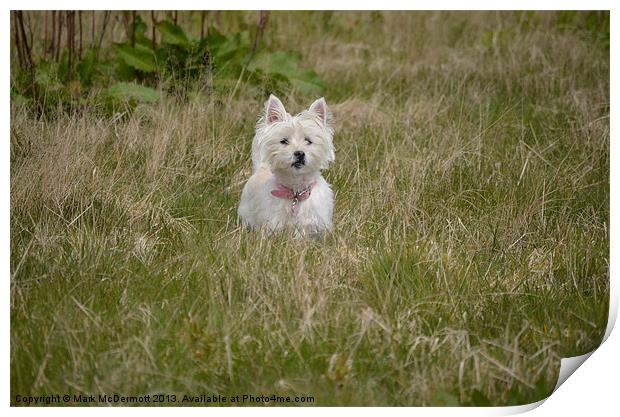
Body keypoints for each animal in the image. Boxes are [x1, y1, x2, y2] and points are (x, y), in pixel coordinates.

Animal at [239, 95, 336, 236]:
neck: (296, 193)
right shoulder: (272, 223)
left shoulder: (315, 224)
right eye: (284, 141)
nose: (299, 153)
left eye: (308, 141)